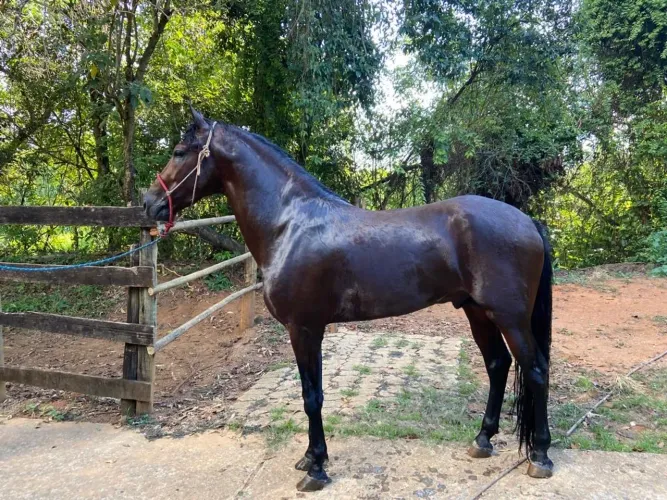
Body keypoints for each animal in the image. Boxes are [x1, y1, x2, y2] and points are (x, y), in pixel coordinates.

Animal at [143, 107, 554, 492]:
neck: (289, 225)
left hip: (511, 318)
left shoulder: (304, 329)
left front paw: (317, 469)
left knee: (535, 370)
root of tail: (528, 221)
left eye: (179, 151)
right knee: (498, 365)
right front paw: (311, 459)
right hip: (477, 312)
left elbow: (311, 396)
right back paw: (482, 440)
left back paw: (540, 456)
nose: (149, 204)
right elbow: (311, 393)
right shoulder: (308, 330)